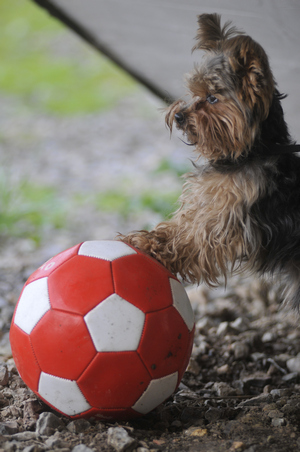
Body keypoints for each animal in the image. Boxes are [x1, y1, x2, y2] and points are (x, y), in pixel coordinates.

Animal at [119, 13, 300, 310]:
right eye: (194, 92)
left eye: (212, 97)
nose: (179, 115)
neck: (247, 155)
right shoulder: (208, 203)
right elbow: (182, 225)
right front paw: (147, 238)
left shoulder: (228, 218)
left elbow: (195, 239)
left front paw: (155, 249)